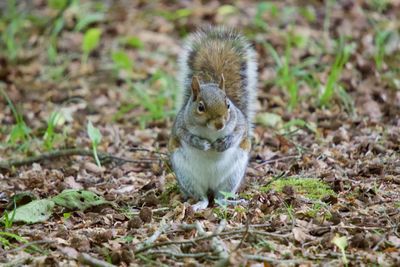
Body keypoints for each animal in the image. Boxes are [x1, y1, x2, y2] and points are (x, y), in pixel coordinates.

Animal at [168, 26, 256, 213]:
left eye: (228, 104)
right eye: (200, 107)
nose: (220, 124)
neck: (210, 131)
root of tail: (210, 185)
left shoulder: (240, 123)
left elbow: (238, 133)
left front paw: (225, 143)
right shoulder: (180, 126)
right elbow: (186, 136)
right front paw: (202, 144)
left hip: (232, 176)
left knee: (219, 198)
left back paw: (231, 202)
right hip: (187, 176)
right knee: (204, 198)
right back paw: (199, 204)